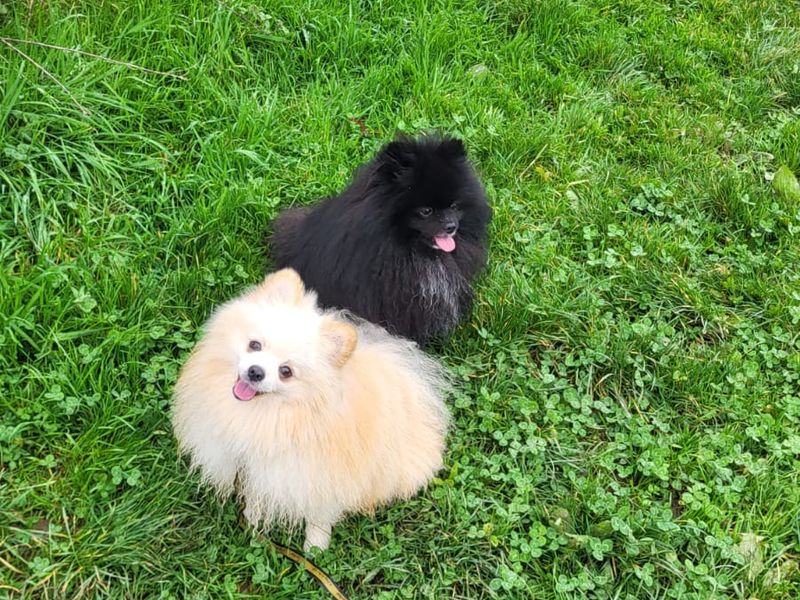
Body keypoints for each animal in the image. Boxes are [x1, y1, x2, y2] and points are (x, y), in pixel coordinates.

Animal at [173, 270, 450, 552]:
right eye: (255, 345)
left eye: (286, 371)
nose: (255, 372)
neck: (265, 415)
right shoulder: (254, 466)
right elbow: (255, 495)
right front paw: (251, 522)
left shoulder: (319, 475)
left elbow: (320, 515)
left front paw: (315, 547)